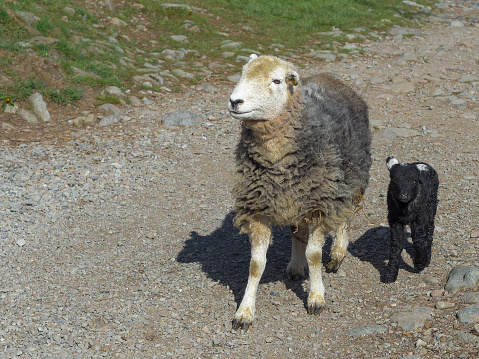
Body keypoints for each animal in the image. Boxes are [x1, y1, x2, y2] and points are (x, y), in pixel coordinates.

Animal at [227, 54, 374, 334]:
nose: (234, 101)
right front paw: (244, 312)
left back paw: (337, 253)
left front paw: (316, 298)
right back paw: (296, 265)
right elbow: (256, 264)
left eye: (276, 80)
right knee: (298, 230)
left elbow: (315, 255)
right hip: (297, 198)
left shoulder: (321, 203)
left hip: (350, 178)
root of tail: (330, 76)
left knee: (345, 216)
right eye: (242, 73)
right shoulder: (259, 207)